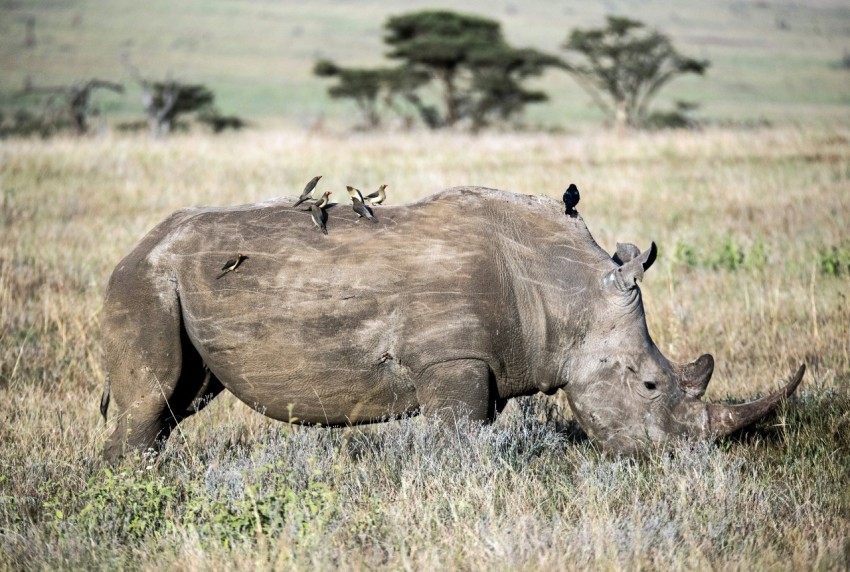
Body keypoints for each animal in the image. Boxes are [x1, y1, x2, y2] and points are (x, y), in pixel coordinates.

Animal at [100, 187, 803, 460]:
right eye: (652, 386)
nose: (686, 460)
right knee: (153, 398)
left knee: (181, 400)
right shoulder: (452, 362)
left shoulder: (485, 365)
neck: (568, 292)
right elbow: (459, 443)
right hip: (145, 282)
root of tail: (135, 246)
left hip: (166, 282)